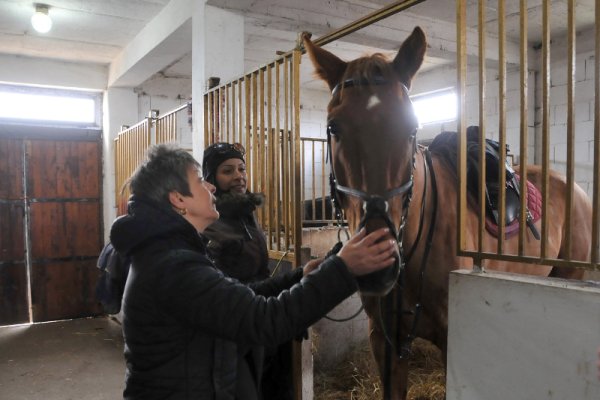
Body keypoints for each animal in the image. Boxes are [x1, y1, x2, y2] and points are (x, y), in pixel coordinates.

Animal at [304, 26, 592, 398]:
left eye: (412, 128)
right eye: (333, 127)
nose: (377, 267)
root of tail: (575, 188)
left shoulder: (449, 340)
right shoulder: (384, 340)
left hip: (570, 273)